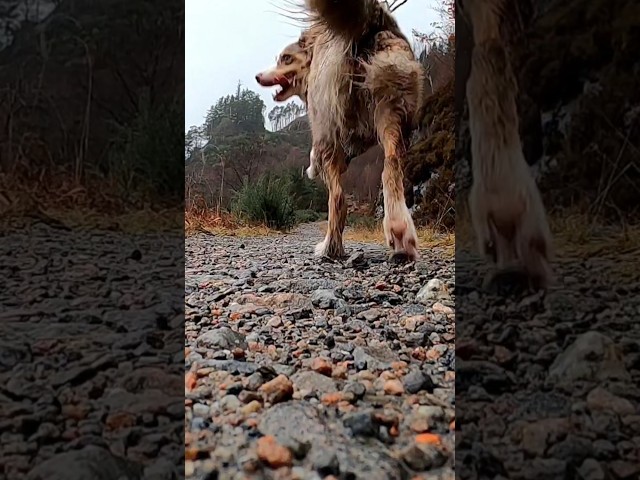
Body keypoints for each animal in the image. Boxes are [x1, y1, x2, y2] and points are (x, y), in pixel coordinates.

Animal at [255, 0, 424, 260]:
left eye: (285, 58)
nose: (258, 76)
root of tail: (370, 25)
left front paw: (311, 164)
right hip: (393, 110)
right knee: (391, 166)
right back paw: (399, 231)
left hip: (331, 133)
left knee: (337, 199)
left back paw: (330, 247)